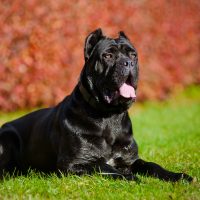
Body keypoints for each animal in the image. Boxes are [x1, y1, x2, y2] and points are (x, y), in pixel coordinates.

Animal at [0, 28, 192, 182]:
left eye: (133, 55)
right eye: (108, 55)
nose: (129, 63)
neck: (109, 116)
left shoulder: (130, 158)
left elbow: (151, 165)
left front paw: (178, 176)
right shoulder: (76, 162)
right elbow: (104, 166)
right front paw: (131, 177)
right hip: (7, 138)